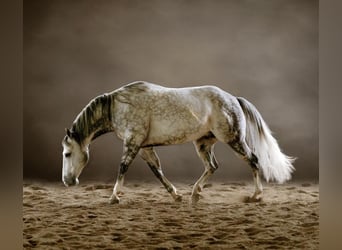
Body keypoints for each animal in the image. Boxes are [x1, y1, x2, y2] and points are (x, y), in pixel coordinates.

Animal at [61, 81, 294, 204]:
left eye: (67, 153)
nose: (68, 181)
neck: (117, 106)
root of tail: (233, 99)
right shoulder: (144, 148)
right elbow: (157, 170)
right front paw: (175, 194)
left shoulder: (132, 142)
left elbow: (123, 167)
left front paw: (114, 197)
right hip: (203, 143)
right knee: (212, 166)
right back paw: (195, 193)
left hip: (233, 139)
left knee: (253, 160)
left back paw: (256, 195)